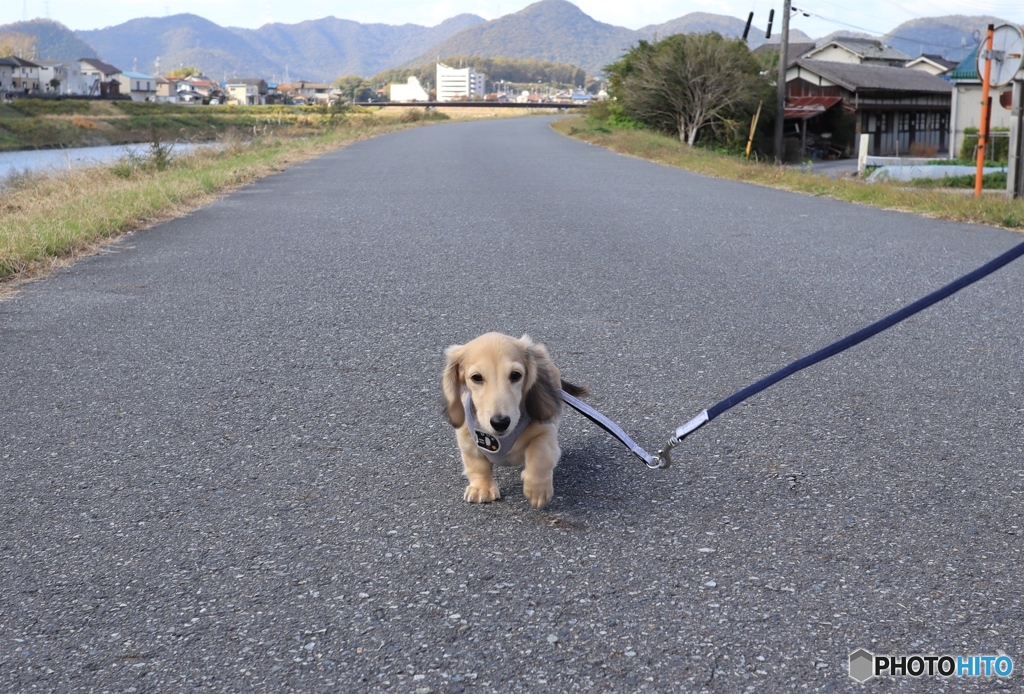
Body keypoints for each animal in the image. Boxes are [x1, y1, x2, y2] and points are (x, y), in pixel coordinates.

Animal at [438, 333, 585, 511]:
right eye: (476, 378)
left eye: (515, 375)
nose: (500, 422)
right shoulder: (467, 439)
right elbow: (476, 465)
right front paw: (481, 488)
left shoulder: (546, 432)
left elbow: (540, 456)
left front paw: (537, 490)